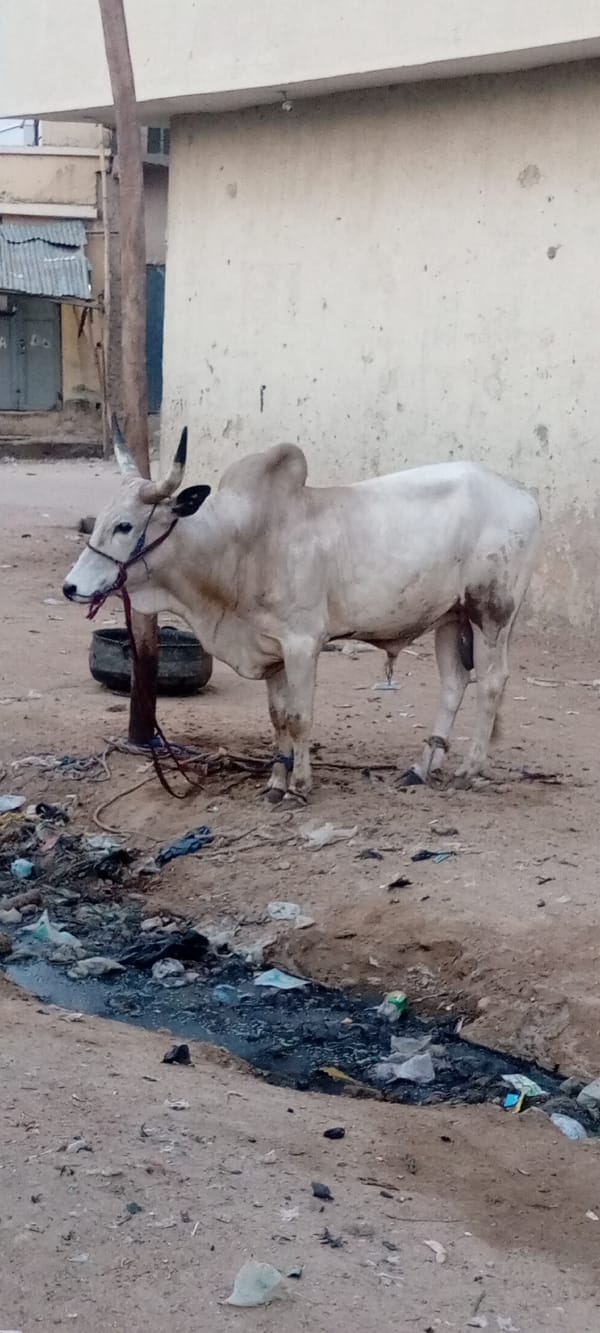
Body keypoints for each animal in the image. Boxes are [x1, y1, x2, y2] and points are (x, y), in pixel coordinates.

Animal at [63, 421, 542, 803]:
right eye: (101, 520)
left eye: (125, 525)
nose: (71, 588)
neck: (242, 544)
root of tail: (525, 495)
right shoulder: (270, 649)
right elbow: (278, 719)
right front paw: (276, 782)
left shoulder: (302, 644)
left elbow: (299, 717)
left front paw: (300, 786)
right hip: (450, 616)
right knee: (454, 684)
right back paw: (421, 769)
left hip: (492, 613)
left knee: (492, 683)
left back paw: (468, 769)